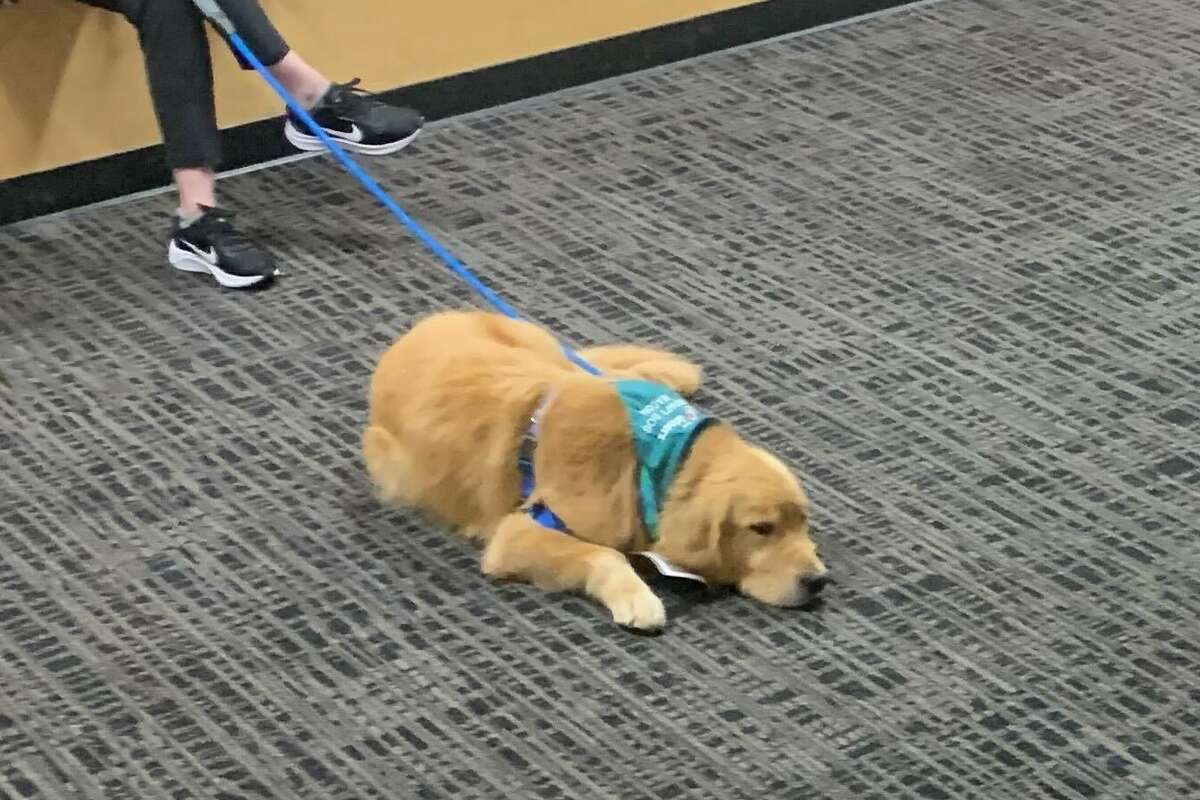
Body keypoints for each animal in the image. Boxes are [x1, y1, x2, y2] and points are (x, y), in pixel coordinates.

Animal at [360, 311, 830, 633]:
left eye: (803, 522)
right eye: (761, 529)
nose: (819, 581)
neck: (649, 463)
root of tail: (423, 324)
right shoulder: (517, 534)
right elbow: (604, 553)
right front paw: (637, 597)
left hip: (540, 347)